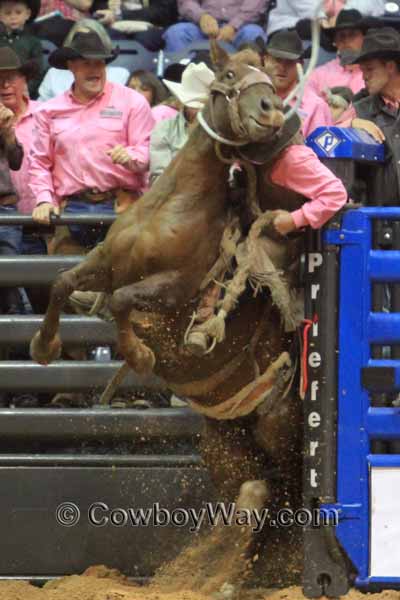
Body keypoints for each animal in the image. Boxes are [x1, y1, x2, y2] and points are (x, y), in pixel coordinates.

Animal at [31, 43, 308, 596]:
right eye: (231, 73)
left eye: (270, 78)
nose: (271, 111)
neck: (173, 207)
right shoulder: (105, 263)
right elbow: (63, 283)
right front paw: (43, 347)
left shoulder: (175, 290)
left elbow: (122, 303)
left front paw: (139, 354)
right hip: (224, 443)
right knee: (253, 490)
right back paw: (220, 572)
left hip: (278, 429)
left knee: (278, 495)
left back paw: (239, 576)